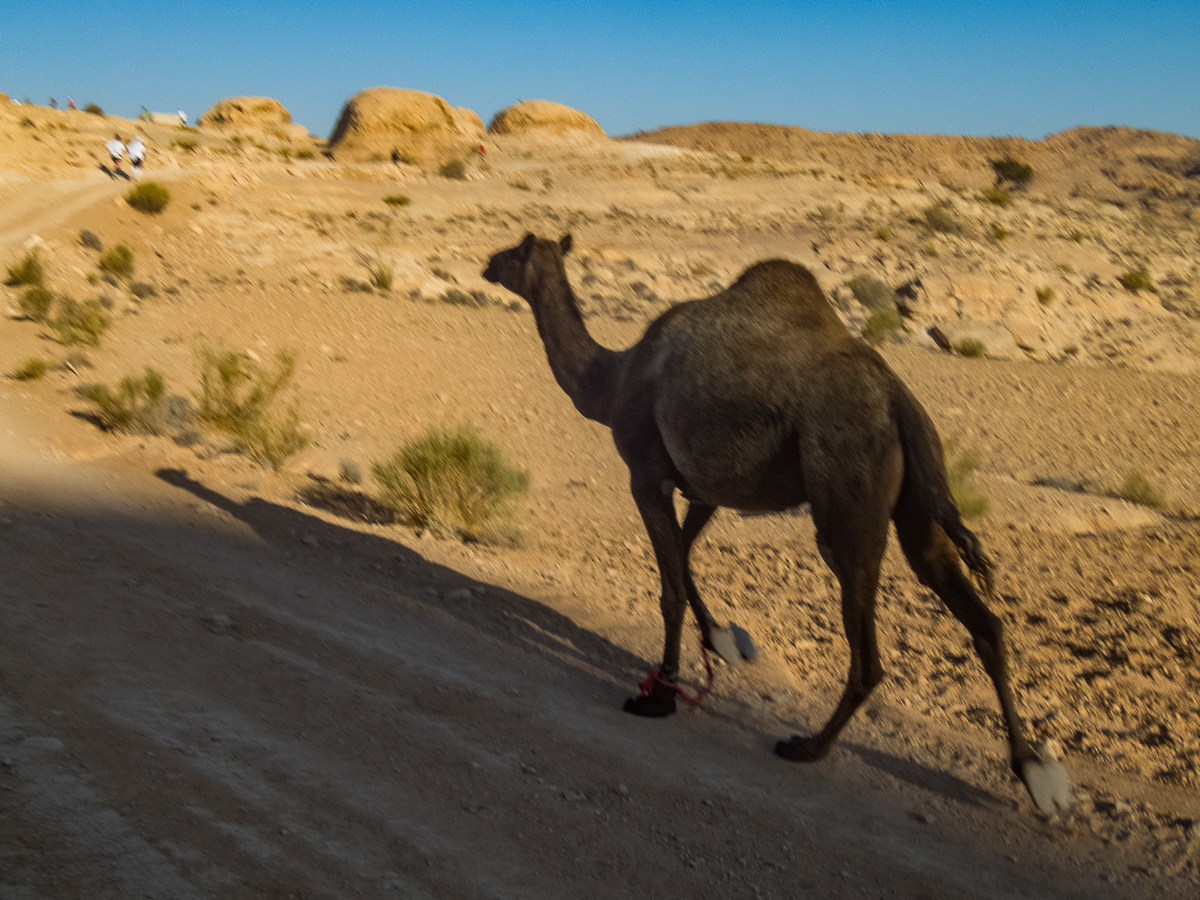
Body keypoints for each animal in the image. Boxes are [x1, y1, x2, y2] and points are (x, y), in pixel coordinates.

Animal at [482, 234, 1075, 816]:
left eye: (516, 249)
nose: (487, 263)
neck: (614, 379)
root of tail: (898, 399)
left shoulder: (647, 475)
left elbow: (671, 587)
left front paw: (660, 693)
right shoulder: (707, 487)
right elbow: (687, 558)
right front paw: (724, 640)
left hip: (848, 496)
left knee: (868, 650)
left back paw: (807, 746)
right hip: (918, 504)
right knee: (981, 617)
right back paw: (1035, 773)